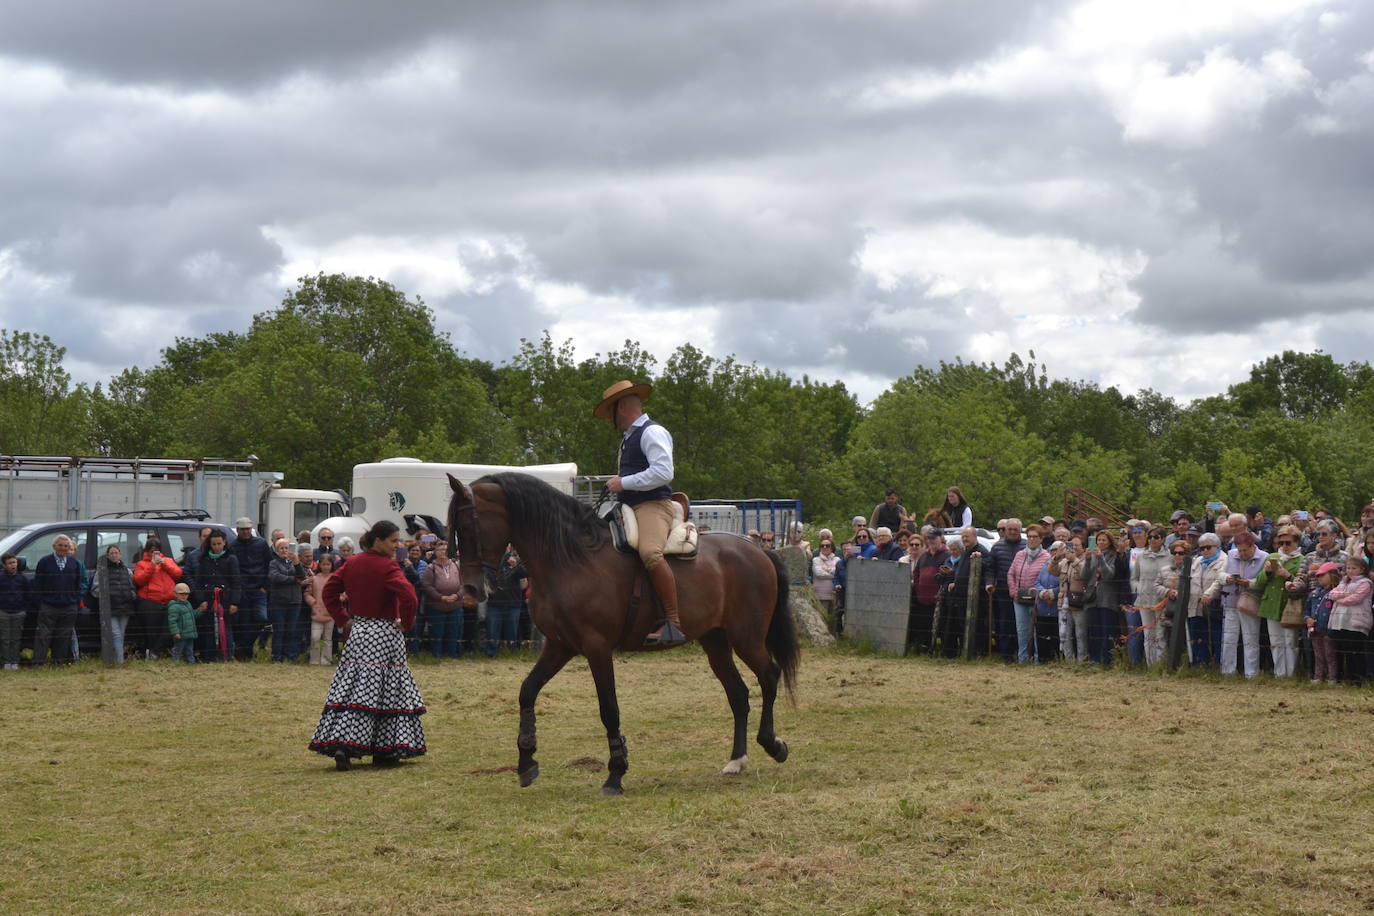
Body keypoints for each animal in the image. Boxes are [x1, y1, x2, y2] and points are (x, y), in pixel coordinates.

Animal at [445, 472, 802, 796]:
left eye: (467, 527)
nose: (470, 589)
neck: (571, 558)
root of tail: (758, 550)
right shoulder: (559, 646)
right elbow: (527, 691)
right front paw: (526, 762)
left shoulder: (597, 647)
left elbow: (609, 708)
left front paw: (615, 774)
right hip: (715, 641)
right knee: (738, 694)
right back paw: (736, 761)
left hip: (746, 637)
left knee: (769, 675)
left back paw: (773, 744)